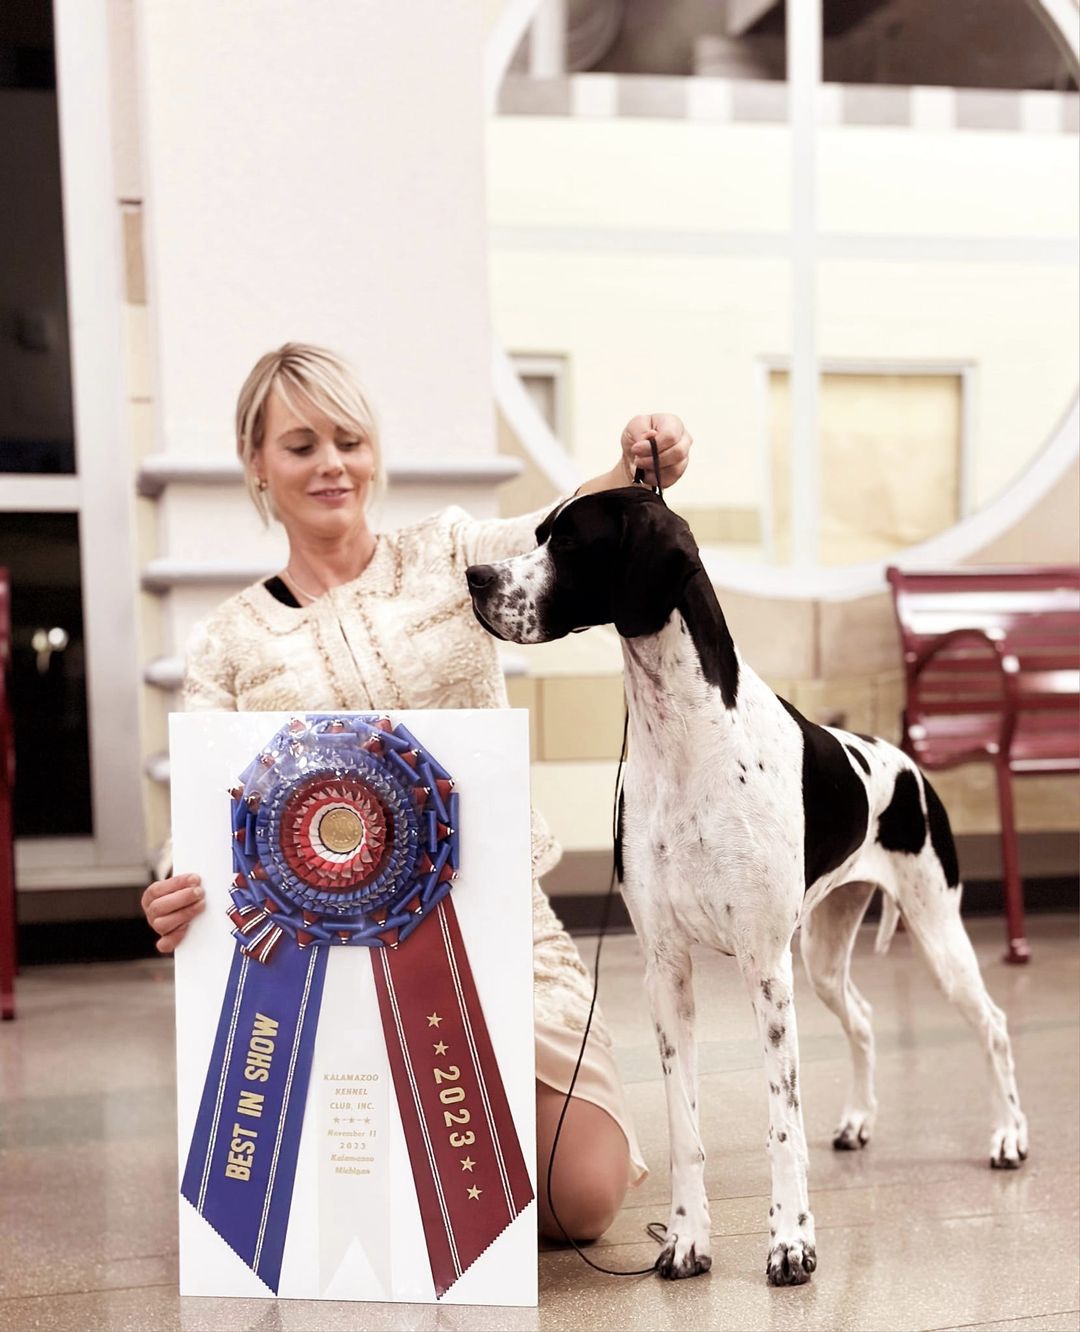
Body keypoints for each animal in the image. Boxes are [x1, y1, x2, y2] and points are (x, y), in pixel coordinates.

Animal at [465, 486, 1028, 1286]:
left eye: (569, 542)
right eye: (536, 531)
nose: (475, 577)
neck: (683, 736)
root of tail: (907, 763)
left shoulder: (765, 968)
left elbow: (781, 1122)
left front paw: (791, 1241)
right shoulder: (668, 970)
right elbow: (685, 1126)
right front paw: (686, 1238)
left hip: (934, 935)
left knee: (994, 1024)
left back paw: (1009, 1134)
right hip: (822, 957)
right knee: (862, 1018)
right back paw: (859, 1121)